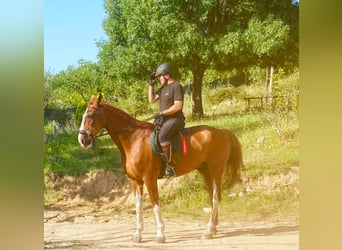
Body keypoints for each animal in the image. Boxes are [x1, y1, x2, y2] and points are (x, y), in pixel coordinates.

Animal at [77, 94, 243, 242]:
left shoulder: (149, 179)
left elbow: (154, 204)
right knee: (213, 197)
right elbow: (138, 206)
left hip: (216, 171)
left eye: (91, 114)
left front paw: (160, 235)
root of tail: (223, 132)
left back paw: (208, 231)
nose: (82, 139)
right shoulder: (135, 181)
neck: (133, 139)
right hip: (205, 171)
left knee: (215, 197)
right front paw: (137, 234)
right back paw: (213, 228)